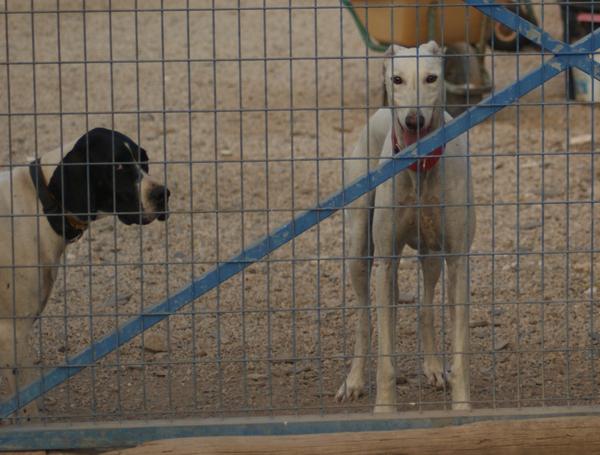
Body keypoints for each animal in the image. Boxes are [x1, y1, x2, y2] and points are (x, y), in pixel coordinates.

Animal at [0, 128, 170, 420]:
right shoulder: (11, 332)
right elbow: (27, 406)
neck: (39, 204)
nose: (163, 194)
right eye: (118, 166)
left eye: (144, 161)